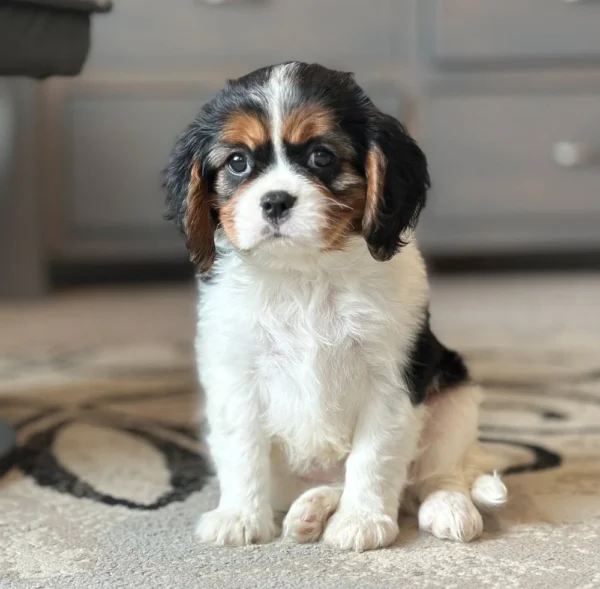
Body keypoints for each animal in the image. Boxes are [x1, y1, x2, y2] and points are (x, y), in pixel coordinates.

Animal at [165, 63, 506, 552]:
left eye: (322, 157)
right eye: (237, 163)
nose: (275, 200)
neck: (305, 273)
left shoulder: (392, 381)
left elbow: (373, 457)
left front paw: (362, 521)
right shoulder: (235, 376)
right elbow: (242, 450)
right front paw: (240, 516)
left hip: (455, 396)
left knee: (435, 475)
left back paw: (447, 507)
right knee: (331, 483)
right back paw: (308, 512)